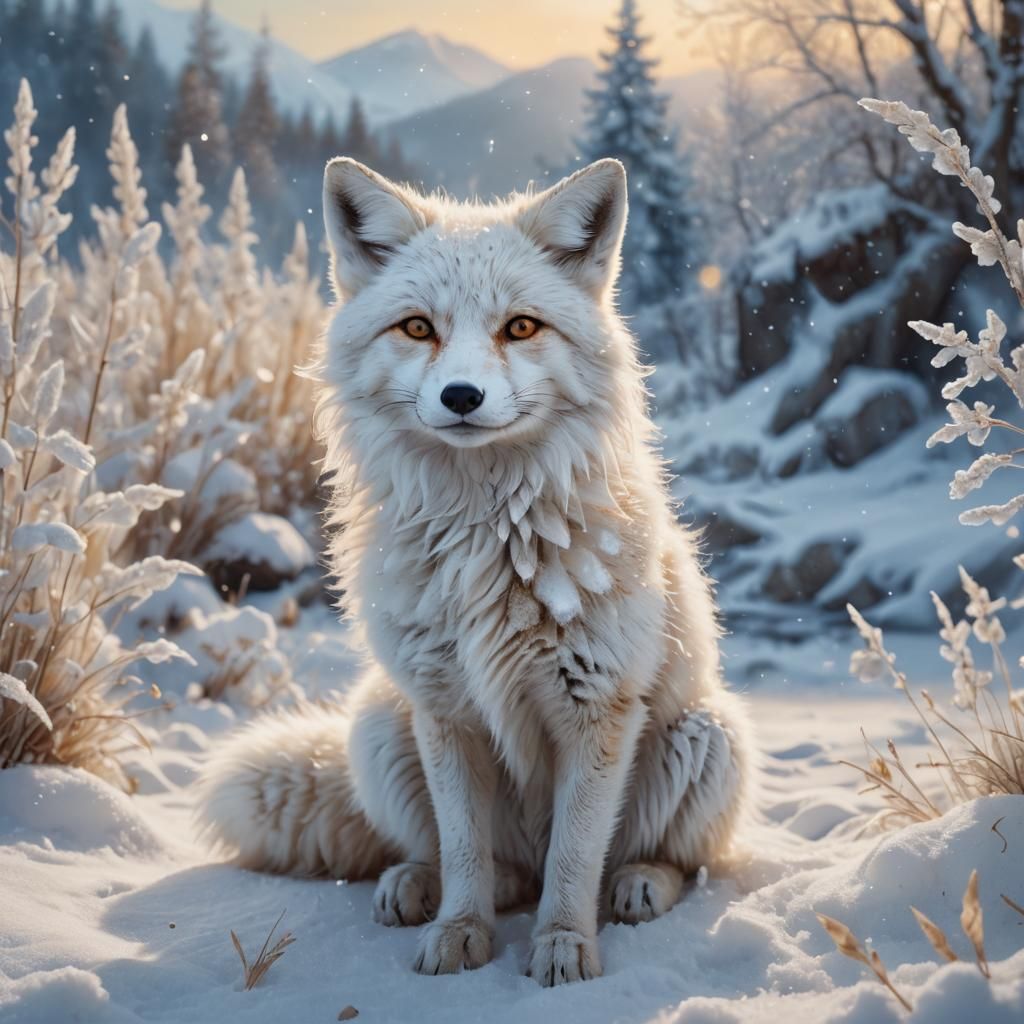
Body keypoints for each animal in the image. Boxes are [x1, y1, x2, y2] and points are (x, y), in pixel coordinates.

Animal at [198, 156, 753, 986]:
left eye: (520, 326)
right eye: (417, 327)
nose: (461, 396)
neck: (490, 541)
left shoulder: (597, 709)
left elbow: (574, 860)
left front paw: (562, 948)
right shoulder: (445, 710)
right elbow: (463, 850)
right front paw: (462, 932)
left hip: (708, 733)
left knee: (661, 860)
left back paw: (639, 885)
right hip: (378, 724)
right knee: (479, 864)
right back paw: (416, 886)